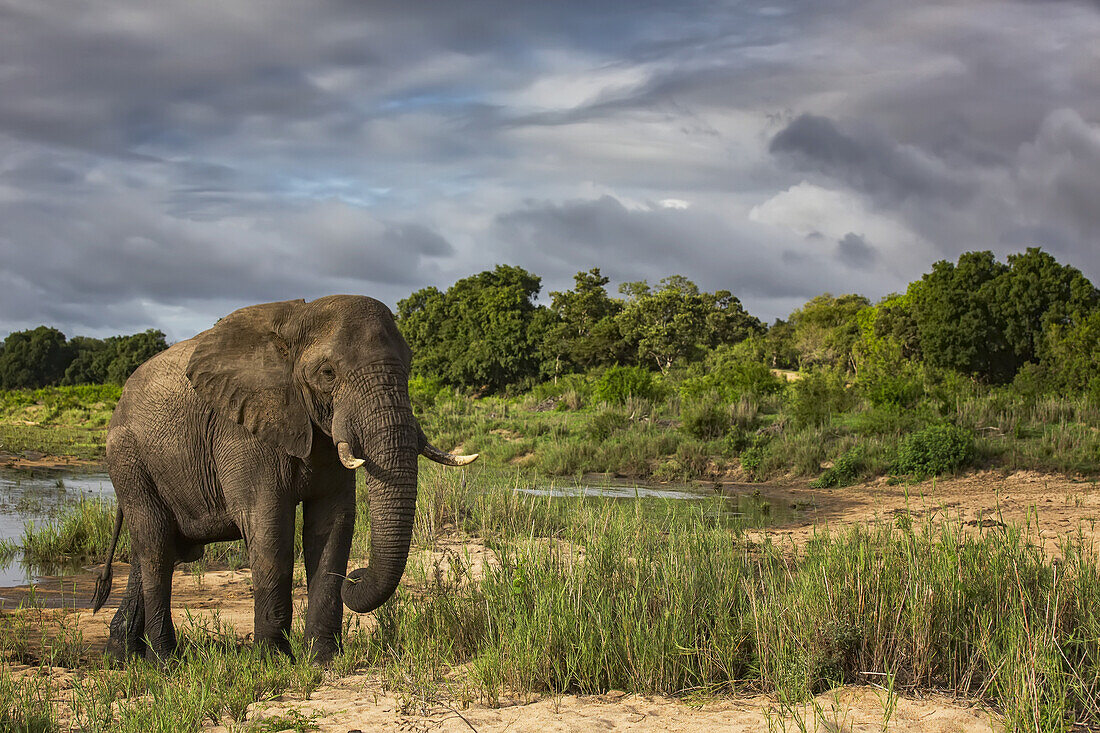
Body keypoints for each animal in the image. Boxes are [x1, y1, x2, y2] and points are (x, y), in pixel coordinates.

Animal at [91, 294, 477, 660]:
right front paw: (273, 659)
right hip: (129, 460)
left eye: (409, 366)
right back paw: (166, 661)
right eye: (327, 373)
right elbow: (269, 526)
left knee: (156, 550)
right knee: (156, 546)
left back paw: (123, 656)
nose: (354, 577)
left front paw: (322, 658)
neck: (295, 324)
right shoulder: (243, 428)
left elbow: (332, 524)